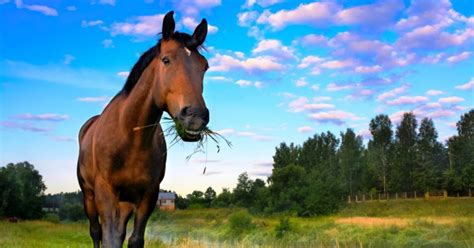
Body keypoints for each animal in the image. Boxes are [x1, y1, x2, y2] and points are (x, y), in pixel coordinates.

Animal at [77, 12, 210, 248]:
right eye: (166, 60)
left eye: (204, 66)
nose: (195, 117)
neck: (130, 137)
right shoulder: (105, 192)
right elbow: (108, 238)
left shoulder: (148, 195)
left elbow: (134, 239)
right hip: (89, 196)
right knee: (96, 231)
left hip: (125, 202)